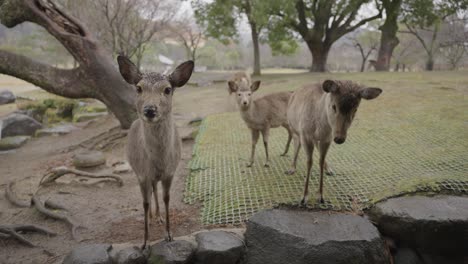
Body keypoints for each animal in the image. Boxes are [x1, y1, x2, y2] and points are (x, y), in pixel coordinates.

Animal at [117, 54, 194, 249]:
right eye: (138, 88)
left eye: (167, 89)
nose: (150, 110)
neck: (159, 162)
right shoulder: (142, 174)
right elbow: (144, 203)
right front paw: (145, 242)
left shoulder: (170, 173)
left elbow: (167, 199)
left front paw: (169, 235)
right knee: (151, 192)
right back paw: (152, 218)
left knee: (155, 190)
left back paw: (158, 217)